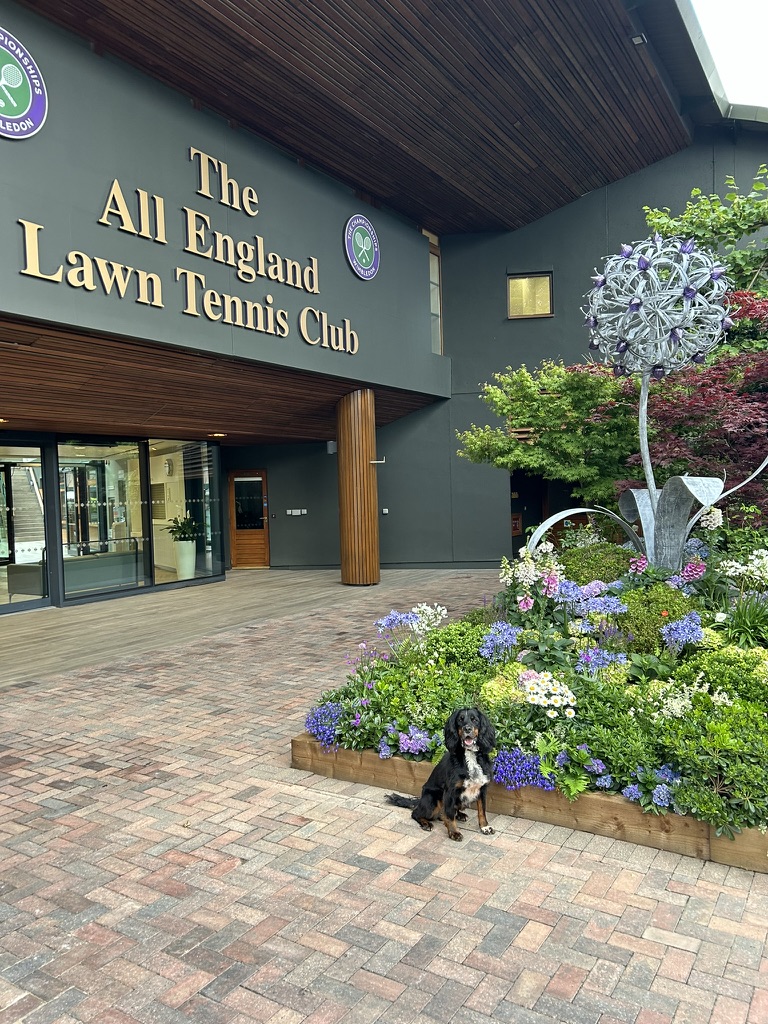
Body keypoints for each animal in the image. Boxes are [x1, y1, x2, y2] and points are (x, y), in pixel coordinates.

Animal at [385, 707, 495, 841]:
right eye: (460, 720)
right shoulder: (450, 790)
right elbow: (449, 815)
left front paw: (485, 827)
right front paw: (454, 832)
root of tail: (421, 799)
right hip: (433, 799)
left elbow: (482, 810)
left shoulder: (482, 788)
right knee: (417, 813)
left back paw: (460, 815)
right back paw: (426, 823)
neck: (469, 755)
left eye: (474, 720)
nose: (467, 729)